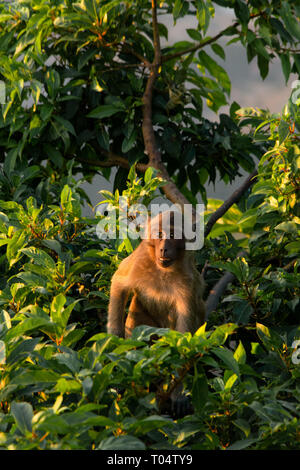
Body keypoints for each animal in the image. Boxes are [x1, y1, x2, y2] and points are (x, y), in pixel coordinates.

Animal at [106, 209, 205, 338]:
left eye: (173, 236)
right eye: (159, 235)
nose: (163, 248)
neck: (163, 271)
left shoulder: (188, 280)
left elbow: (185, 330)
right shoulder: (140, 258)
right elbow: (119, 282)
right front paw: (115, 334)